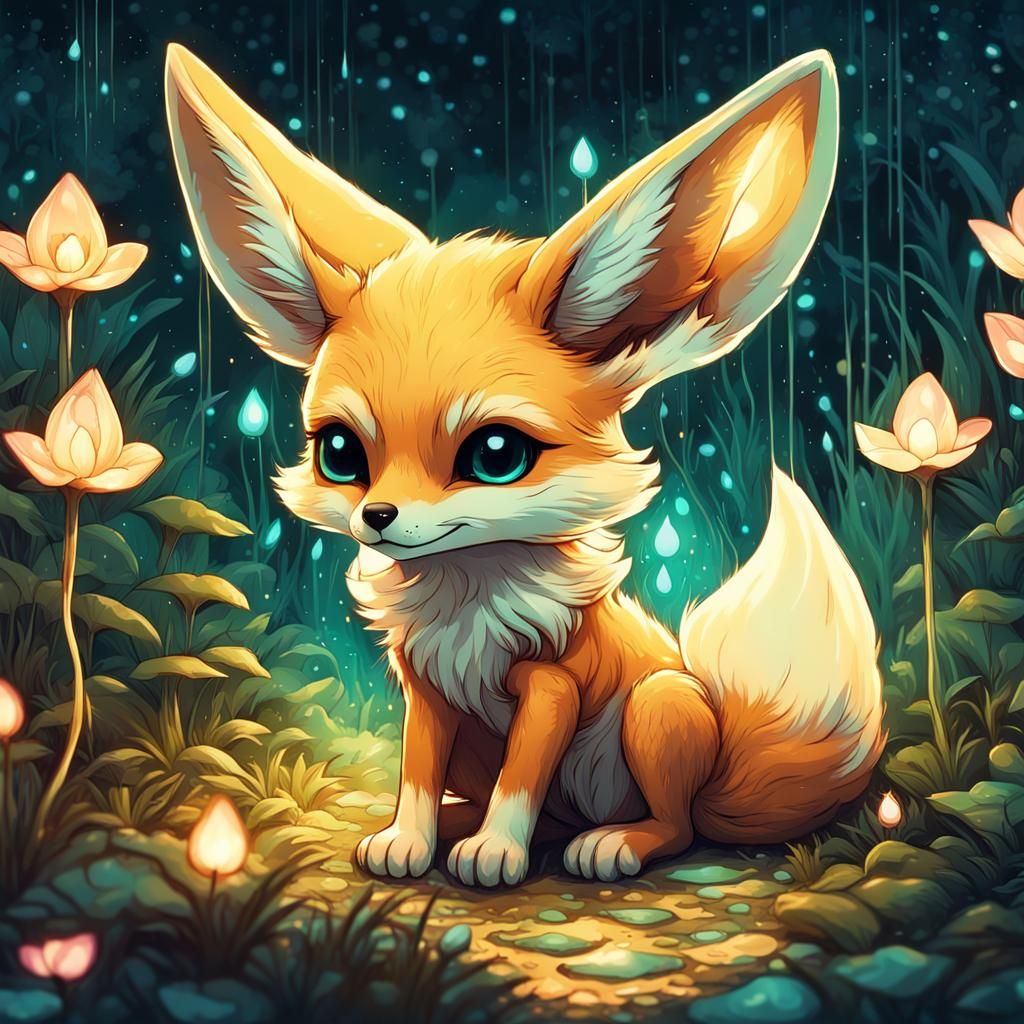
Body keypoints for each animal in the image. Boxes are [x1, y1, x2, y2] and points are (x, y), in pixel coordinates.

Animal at [165, 43, 885, 886]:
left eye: (496, 455)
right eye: (340, 453)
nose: (378, 517)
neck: (465, 601)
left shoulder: (552, 685)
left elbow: (523, 778)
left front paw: (494, 853)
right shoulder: (426, 690)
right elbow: (415, 774)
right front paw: (409, 840)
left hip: (659, 706)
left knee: (674, 825)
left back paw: (611, 842)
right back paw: (466, 825)